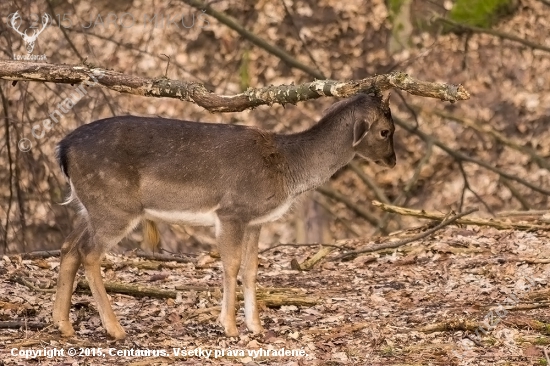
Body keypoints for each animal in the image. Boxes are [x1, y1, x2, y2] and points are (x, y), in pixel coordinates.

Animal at [52, 93, 396, 338]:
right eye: (385, 131)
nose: (393, 161)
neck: (288, 167)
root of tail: (62, 149)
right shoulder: (232, 210)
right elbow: (230, 266)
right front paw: (229, 327)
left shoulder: (256, 221)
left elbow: (251, 270)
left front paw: (256, 327)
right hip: (115, 207)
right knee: (89, 252)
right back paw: (115, 329)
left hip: (89, 206)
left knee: (69, 246)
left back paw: (64, 325)